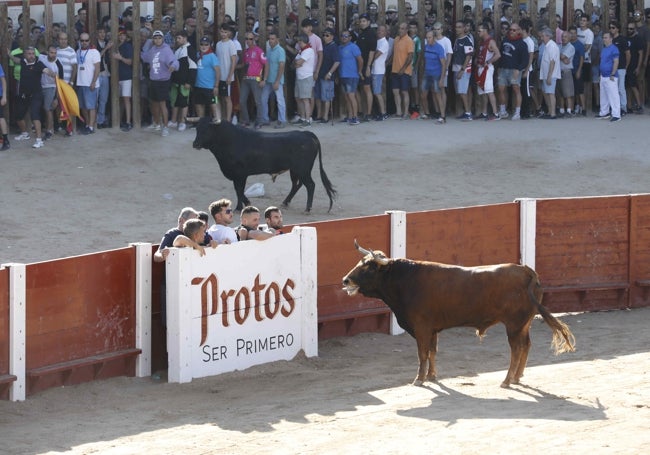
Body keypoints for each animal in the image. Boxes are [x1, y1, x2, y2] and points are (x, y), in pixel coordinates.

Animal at [191, 116, 334, 211]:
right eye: (197, 129)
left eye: (206, 130)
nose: (195, 144)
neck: (229, 140)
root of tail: (307, 134)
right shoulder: (236, 175)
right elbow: (238, 190)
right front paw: (243, 205)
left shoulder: (240, 174)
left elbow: (239, 190)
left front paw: (241, 206)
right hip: (295, 170)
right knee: (297, 185)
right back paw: (285, 202)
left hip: (303, 170)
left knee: (310, 185)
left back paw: (307, 208)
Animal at [340, 242, 572, 388]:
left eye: (369, 267)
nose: (345, 280)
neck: (404, 280)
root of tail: (527, 271)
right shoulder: (432, 329)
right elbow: (432, 352)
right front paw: (432, 376)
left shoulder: (421, 327)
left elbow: (422, 353)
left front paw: (419, 379)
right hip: (525, 323)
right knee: (526, 345)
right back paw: (516, 378)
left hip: (514, 325)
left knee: (516, 349)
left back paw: (507, 381)